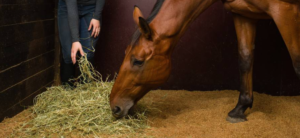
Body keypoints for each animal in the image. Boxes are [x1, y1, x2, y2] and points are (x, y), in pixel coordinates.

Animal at [108, 0, 300, 123]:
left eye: (138, 61)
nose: (115, 107)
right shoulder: (244, 13)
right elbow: (245, 58)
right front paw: (240, 108)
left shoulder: (285, 10)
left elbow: (297, 62)